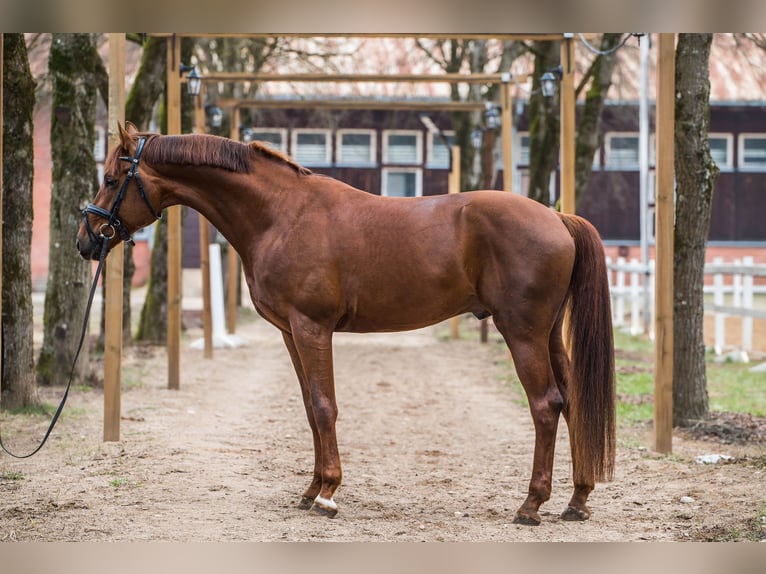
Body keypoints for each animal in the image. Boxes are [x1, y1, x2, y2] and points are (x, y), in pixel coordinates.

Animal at [78, 124, 616, 528]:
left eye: (111, 178)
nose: (87, 240)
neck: (283, 215)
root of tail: (558, 218)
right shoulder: (290, 332)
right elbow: (309, 408)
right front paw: (312, 488)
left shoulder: (312, 327)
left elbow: (324, 406)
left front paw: (328, 494)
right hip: (549, 336)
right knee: (573, 403)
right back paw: (577, 500)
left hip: (523, 334)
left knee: (546, 405)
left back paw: (531, 505)